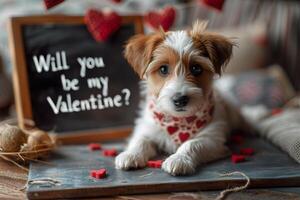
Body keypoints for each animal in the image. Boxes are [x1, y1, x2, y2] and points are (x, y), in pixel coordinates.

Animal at [115, 21, 244, 176]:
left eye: (196, 68)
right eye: (163, 69)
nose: (180, 100)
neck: (180, 122)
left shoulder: (213, 138)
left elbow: (192, 144)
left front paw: (179, 159)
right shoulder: (147, 127)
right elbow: (140, 140)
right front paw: (130, 154)